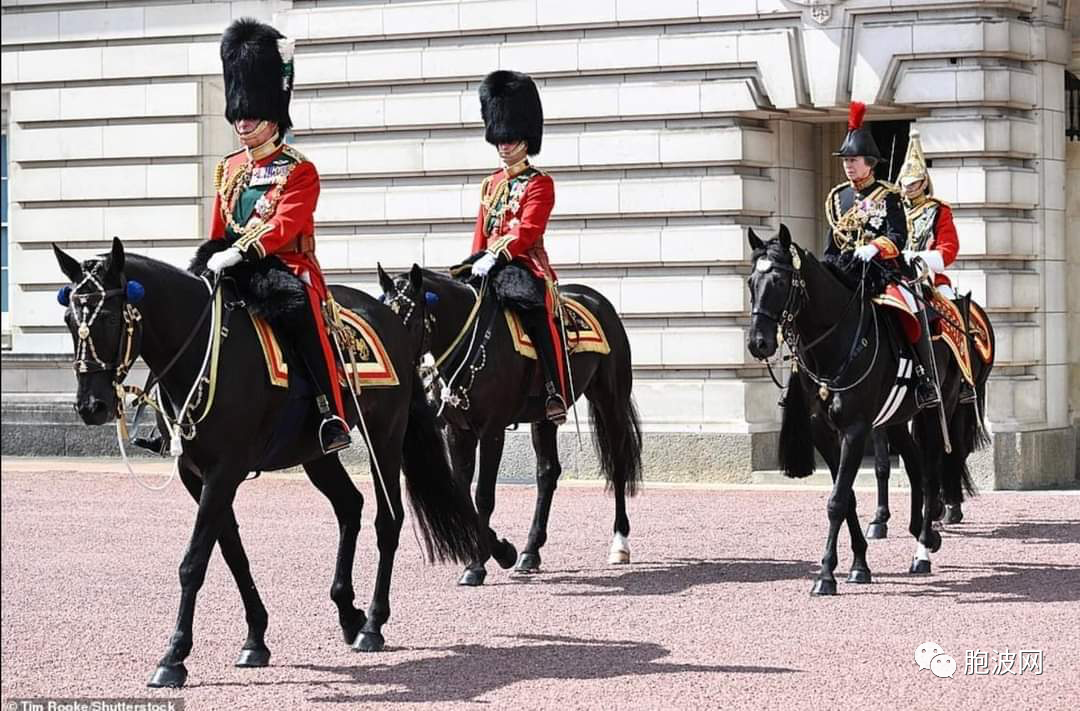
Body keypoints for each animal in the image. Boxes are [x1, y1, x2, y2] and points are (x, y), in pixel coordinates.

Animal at [52, 239, 483, 687]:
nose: (91, 406)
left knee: (389, 519)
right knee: (350, 506)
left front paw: (173, 656)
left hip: (385, 436)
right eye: (68, 317)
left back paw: (372, 624)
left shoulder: (224, 471)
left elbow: (194, 561)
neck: (204, 351)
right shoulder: (198, 476)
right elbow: (231, 551)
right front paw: (255, 638)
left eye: (107, 317)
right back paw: (348, 612)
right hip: (315, 452)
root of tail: (391, 320)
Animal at [380, 262, 639, 583]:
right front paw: (496, 553)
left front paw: (482, 562)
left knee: (618, 465)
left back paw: (619, 543)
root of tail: (597, 299)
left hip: (610, 400)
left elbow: (483, 495)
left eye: (411, 320)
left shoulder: (492, 431)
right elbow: (463, 493)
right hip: (544, 416)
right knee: (547, 473)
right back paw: (530, 551)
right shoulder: (458, 431)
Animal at [747, 225, 989, 592]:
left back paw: (923, 549)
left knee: (932, 470)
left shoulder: (855, 429)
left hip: (936, 411)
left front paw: (826, 575)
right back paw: (920, 531)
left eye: (779, 281)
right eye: (751, 282)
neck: (835, 344)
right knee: (916, 464)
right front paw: (859, 564)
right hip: (896, 418)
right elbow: (846, 496)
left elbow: (836, 501)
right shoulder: (824, 432)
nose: (758, 343)